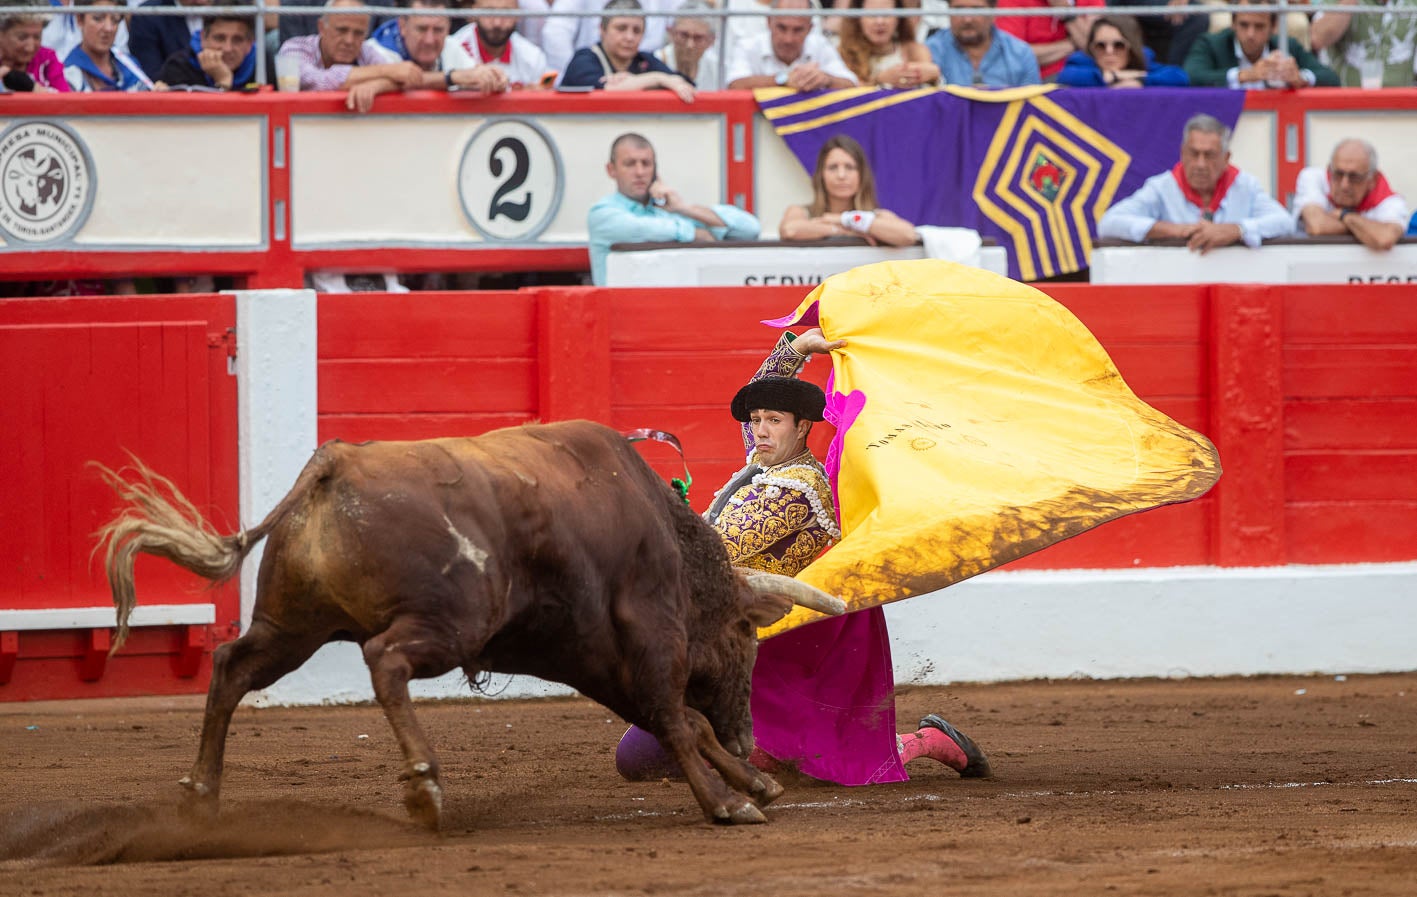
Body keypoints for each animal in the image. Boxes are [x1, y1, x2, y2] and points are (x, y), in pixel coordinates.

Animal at [97, 422, 838, 827]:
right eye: (745, 635)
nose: (751, 740)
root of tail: (336, 462)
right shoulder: (648, 636)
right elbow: (679, 719)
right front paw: (729, 803)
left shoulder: (597, 656)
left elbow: (677, 721)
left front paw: (755, 784)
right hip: (447, 623)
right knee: (385, 659)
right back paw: (425, 786)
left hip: (292, 624)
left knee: (231, 667)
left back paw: (201, 795)